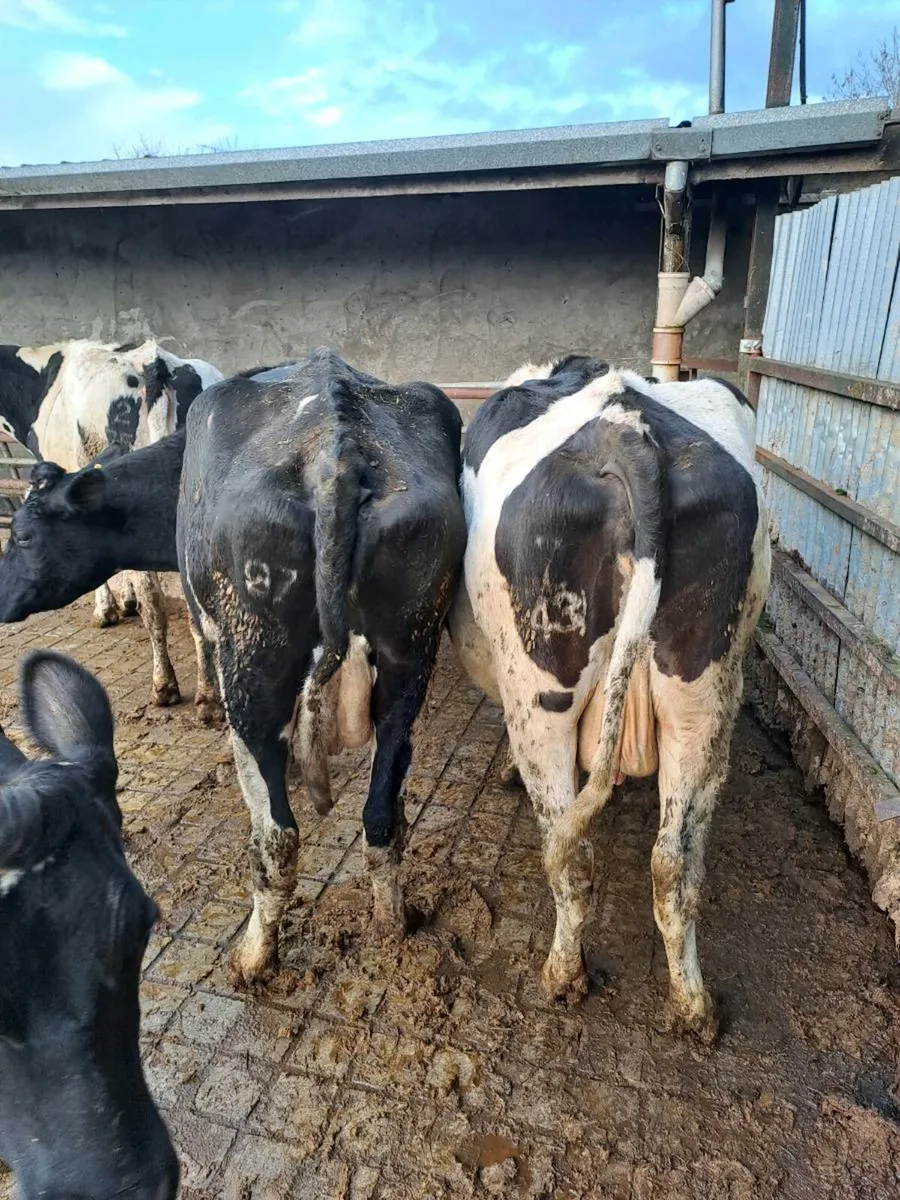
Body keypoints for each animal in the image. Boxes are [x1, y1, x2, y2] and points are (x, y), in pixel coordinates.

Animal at [0, 338, 223, 705]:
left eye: (23, 537)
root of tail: (154, 361)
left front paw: (105, 610)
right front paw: (126, 602)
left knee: (156, 604)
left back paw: (169, 686)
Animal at [179, 348, 467, 984]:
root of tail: (337, 451)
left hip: (251, 662)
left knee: (277, 836)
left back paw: (253, 958)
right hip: (410, 658)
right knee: (382, 818)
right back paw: (393, 926)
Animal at [448, 355, 771, 1042]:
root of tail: (627, 431)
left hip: (541, 693)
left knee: (570, 857)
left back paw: (563, 977)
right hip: (702, 692)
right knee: (674, 864)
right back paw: (694, 1005)